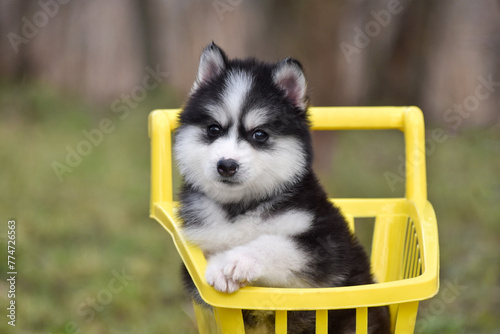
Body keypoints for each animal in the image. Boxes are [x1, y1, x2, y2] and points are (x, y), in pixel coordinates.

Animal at [175, 43, 390, 332]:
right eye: (213, 129)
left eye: (259, 134)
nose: (227, 165)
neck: (240, 207)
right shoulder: (195, 256)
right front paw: (221, 265)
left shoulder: (327, 246)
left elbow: (275, 243)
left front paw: (233, 261)